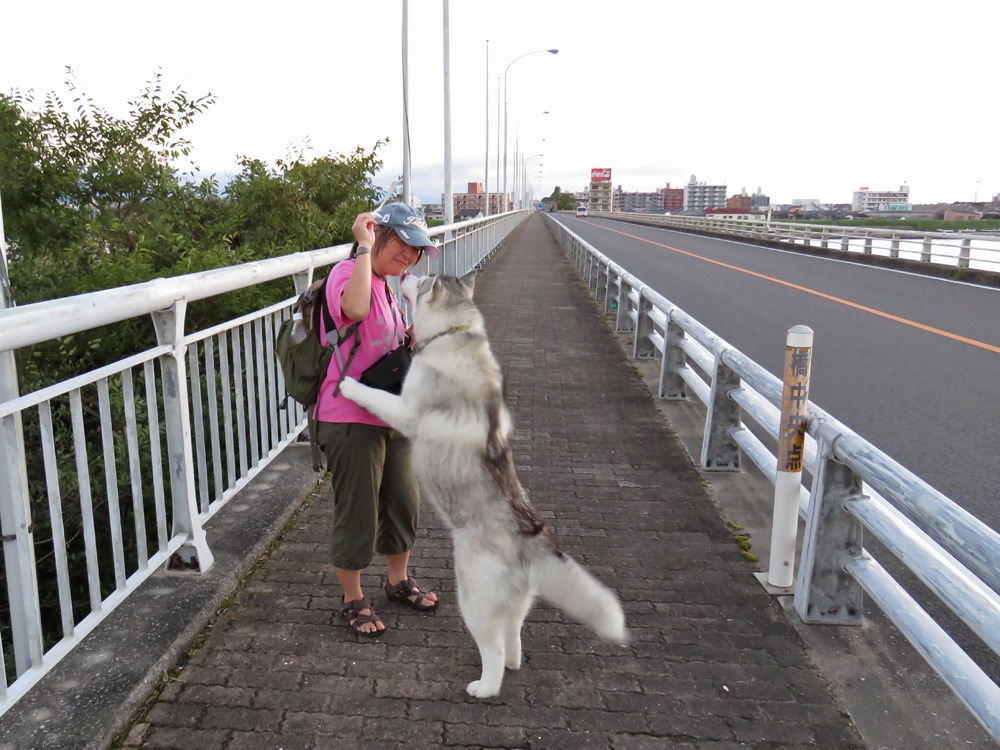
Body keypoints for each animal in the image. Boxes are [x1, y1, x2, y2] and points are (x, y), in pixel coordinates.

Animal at [340, 270, 628, 700]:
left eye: (421, 281)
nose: (405, 273)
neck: (453, 335)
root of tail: (531, 536)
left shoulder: (406, 412)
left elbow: (372, 394)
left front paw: (346, 384)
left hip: (472, 598)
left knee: (492, 648)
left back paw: (485, 686)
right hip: (515, 604)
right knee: (513, 637)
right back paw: (511, 663)